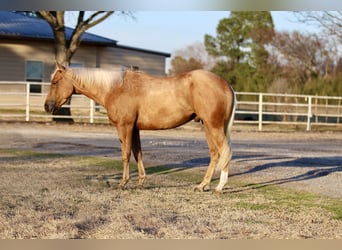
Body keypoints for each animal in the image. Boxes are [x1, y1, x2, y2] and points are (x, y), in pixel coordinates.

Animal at [44, 63, 235, 193]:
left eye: (55, 82)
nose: (47, 106)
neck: (115, 88)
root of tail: (226, 84)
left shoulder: (125, 127)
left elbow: (125, 155)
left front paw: (123, 183)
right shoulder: (134, 129)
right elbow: (138, 154)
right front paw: (141, 182)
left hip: (214, 126)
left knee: (224, 151)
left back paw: (219, 187)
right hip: (208, 126)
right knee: (214, 154)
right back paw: (202, 185)